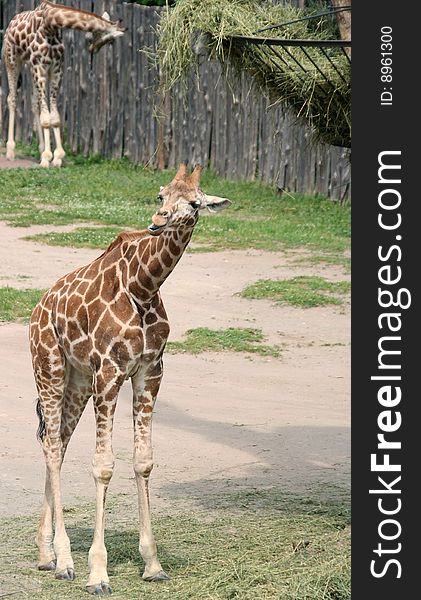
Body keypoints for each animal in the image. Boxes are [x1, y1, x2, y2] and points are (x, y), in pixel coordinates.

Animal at [2, 2, 125, 168]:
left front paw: (57, 157)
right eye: (109, 41)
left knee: (34, 103)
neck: (50, 25)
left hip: (30, 66)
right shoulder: (40, 66)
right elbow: (46, 118)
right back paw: (10, 151)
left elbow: (54, 117)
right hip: (13, 60)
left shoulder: (55, 69)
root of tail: (11, 23)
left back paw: (40, 148)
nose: (92, 49)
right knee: (12, 98)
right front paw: (47, 158)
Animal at [29, 164, 231, 596]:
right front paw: (97, 573)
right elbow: (104, 465)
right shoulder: (110, 371)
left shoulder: (149, 371)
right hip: (49, 367)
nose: (158, 221)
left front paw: (152, 564)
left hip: (77, 381)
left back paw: (45, 554)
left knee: (59, 444)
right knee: (52, 446)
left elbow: (143, 461)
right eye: (160, 195)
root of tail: (39, 306)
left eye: (194, 203)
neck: (144, 286)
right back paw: (64, 561)